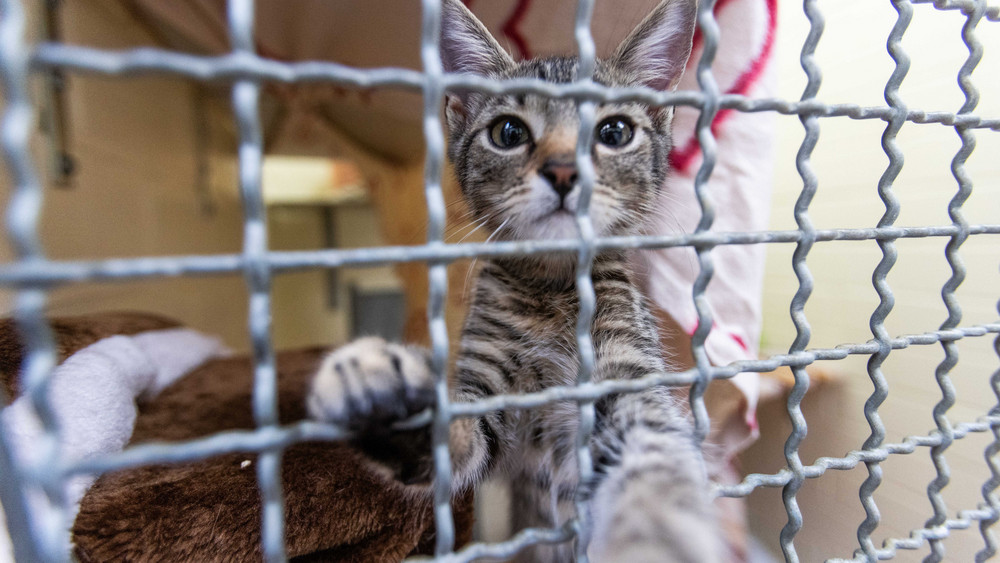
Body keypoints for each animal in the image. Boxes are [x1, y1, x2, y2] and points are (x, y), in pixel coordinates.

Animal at [306, 2, 720, 560]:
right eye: (508, 133)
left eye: (614, 132)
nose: (564, 171)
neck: (552, 288)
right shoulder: (488, 388)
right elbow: (461, 435)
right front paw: (387, 394)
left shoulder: (625, 369)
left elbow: (654, 450)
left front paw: (657, 524)